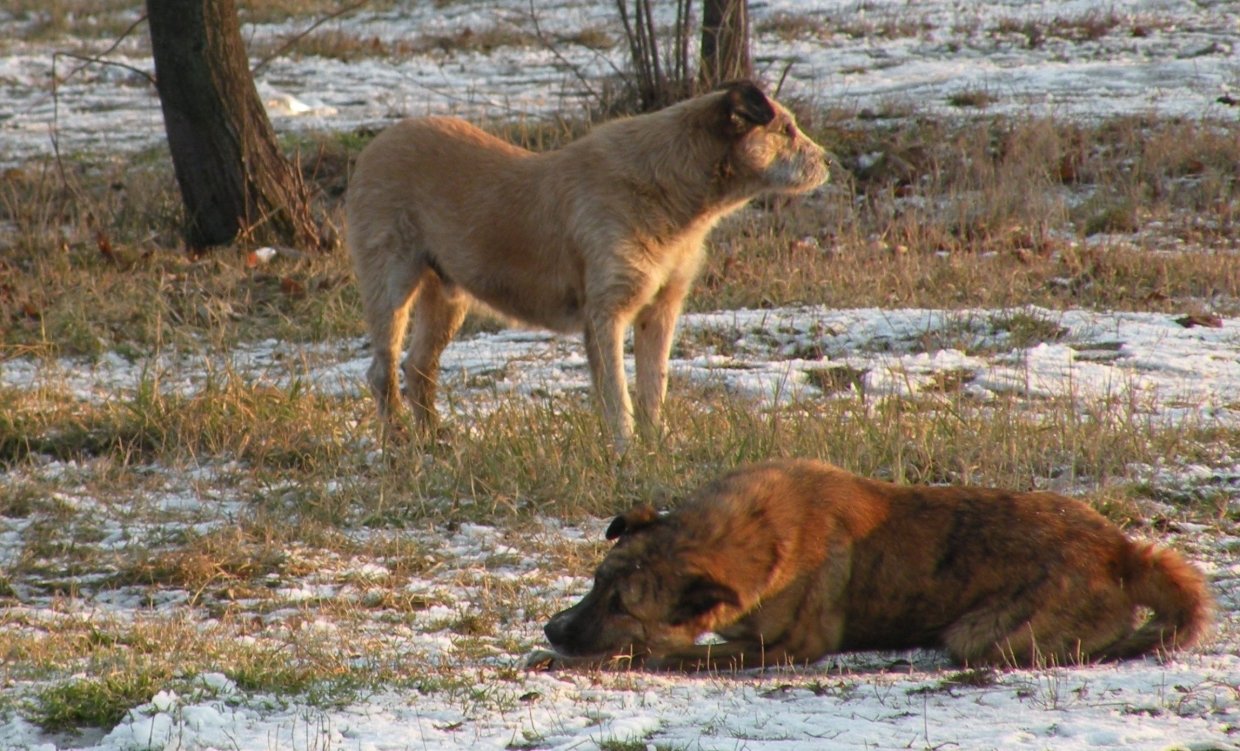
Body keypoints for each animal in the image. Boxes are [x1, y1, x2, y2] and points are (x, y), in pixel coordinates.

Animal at [349, 82, 828, 446]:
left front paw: (655, 447)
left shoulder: (660, 311)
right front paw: (625, 453)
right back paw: (399, 444)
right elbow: (618, 396)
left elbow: (653, 386)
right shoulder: (605, 314)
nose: (828, 160)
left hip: (448, 297)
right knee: (382, 371)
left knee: (418, 367)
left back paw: (436, 442)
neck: (669, 189)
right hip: (391, 285)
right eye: (786, 129)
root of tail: (376, 144)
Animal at [535, 458, 1210, 669]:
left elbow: (670, 654)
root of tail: (1122, 549)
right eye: (594, 584)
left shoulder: (787, 648)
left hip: (982, 634)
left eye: (621, 606)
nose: (551, 629)